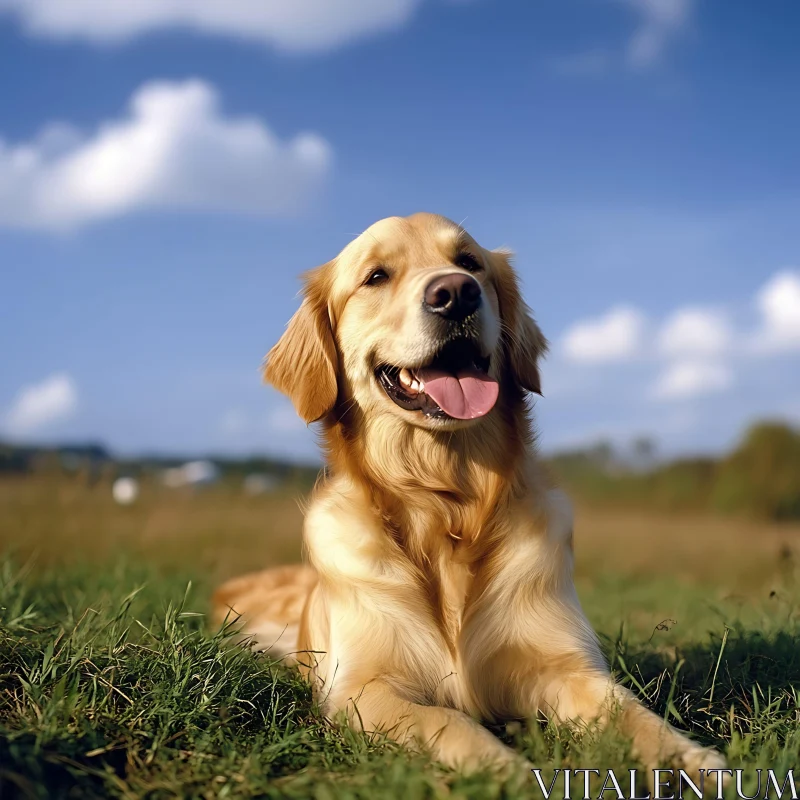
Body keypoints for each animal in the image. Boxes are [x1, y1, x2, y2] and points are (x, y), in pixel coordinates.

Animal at [212, 211, 724, 776]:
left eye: (469, 263)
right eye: (375, 276)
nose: (456, 293)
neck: (444, 504)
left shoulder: (565, 665)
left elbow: (632, 714)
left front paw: (694, 763)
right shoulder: (363, 688)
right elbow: (449, 722)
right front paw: (509, 773)